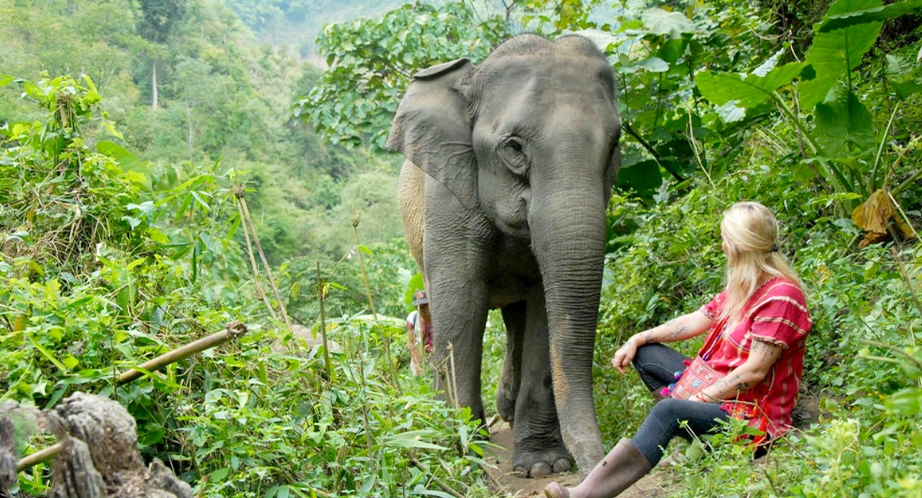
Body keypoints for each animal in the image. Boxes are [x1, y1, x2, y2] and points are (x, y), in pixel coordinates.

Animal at [388, 33, 620, 476]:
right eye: (513, 148)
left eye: (615, 145)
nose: (597, 464)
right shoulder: (448, 200)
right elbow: (461, 302)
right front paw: (462, 448)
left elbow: (545, 307)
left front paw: (543, 466)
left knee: (516, 319)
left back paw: (507, 412)